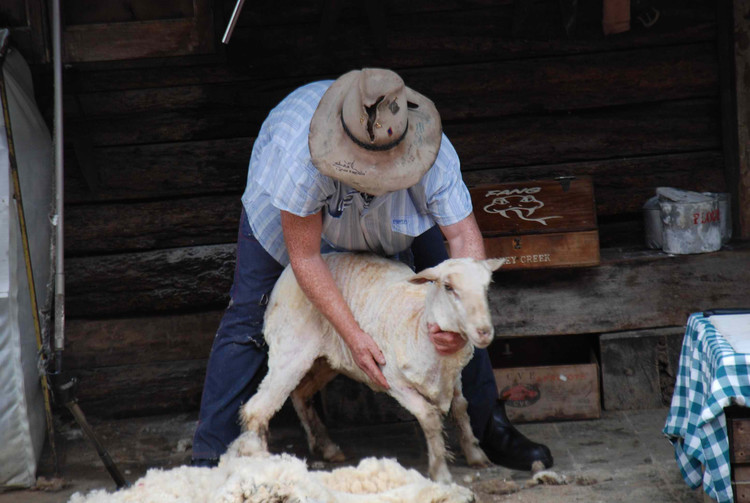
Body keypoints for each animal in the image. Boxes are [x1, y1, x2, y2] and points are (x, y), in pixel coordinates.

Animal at [231, 252, 506, 484]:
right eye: (449, 287)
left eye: (486, 287)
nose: (484, 332)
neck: (419, 327)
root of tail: (287, 272)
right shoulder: (393, 380)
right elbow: (429, 417)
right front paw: (440, 473)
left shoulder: (453, 376)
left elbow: (461, 408)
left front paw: (476, 455)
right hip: (291, 348)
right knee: (257, 409)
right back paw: (261, 462)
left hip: (327, 359)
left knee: (300, 394)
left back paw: (327, 447)